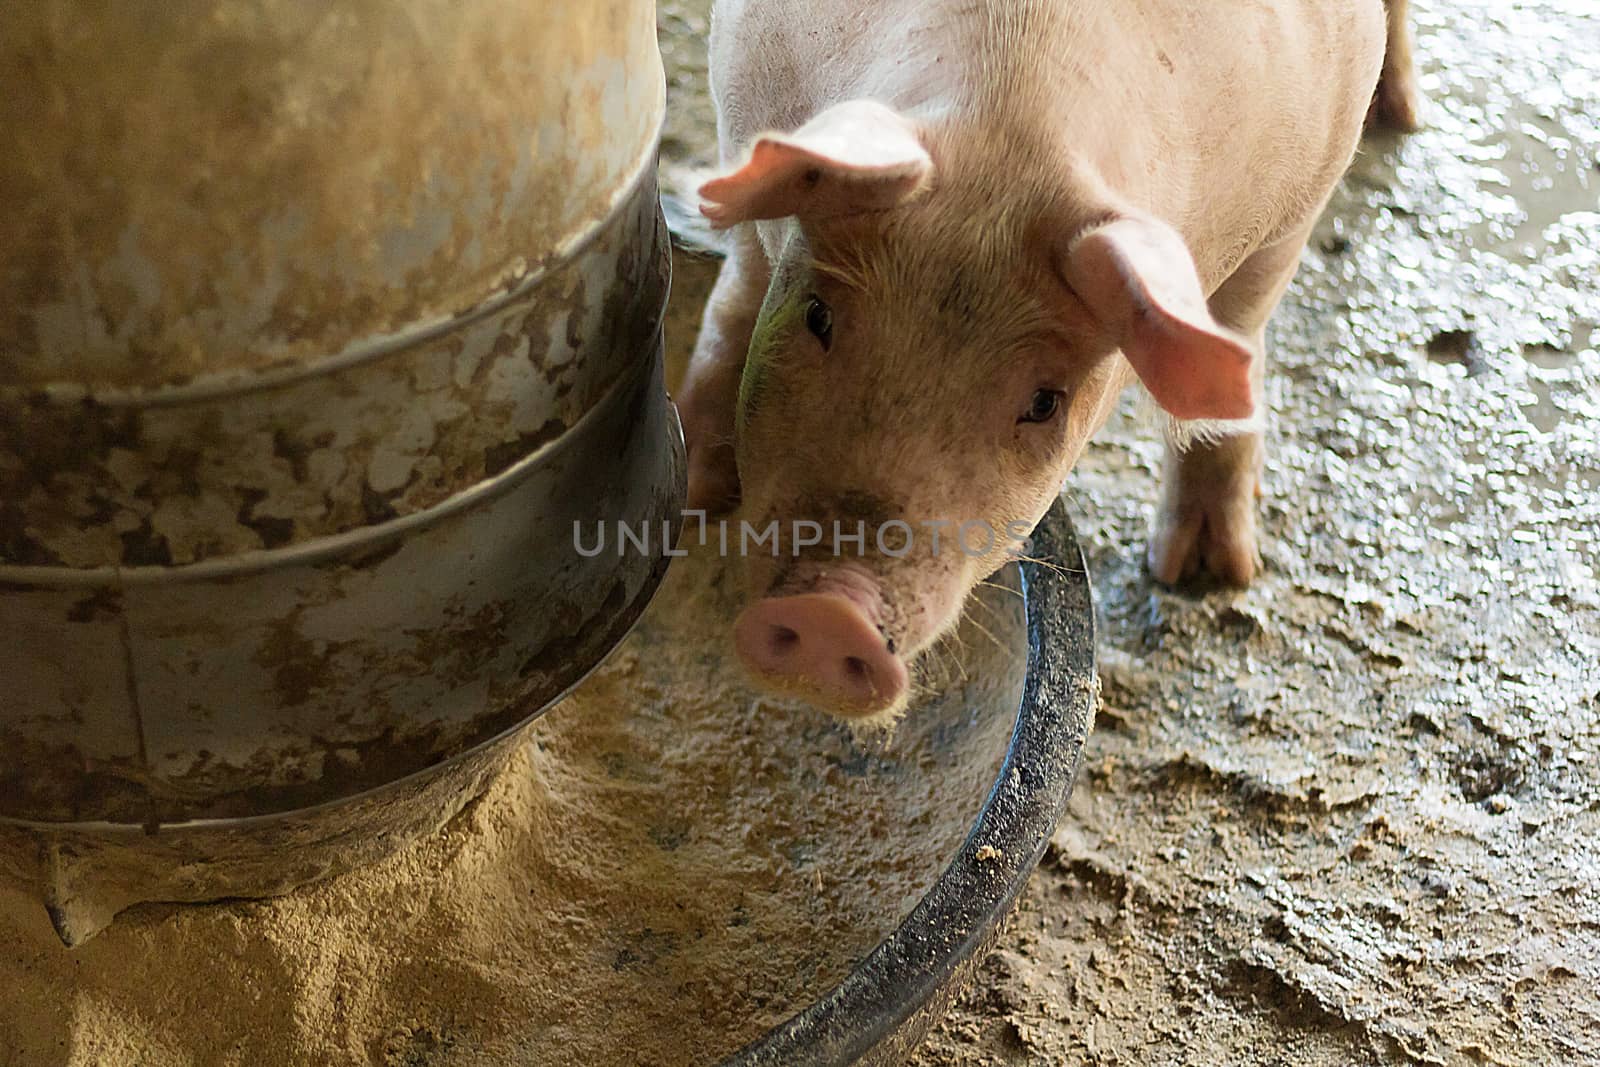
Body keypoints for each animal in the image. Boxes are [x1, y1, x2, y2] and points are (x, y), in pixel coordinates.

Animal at [678, 0, 1427, 723]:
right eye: (817, 317)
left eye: (1044, 402)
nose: (831, 612)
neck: (1009, 125)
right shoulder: (737, 105)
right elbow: (738, 292)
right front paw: (694, 492)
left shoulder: (1295, 210)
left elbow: (1237, 354)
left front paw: (1207, 575)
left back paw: (1401, 114)